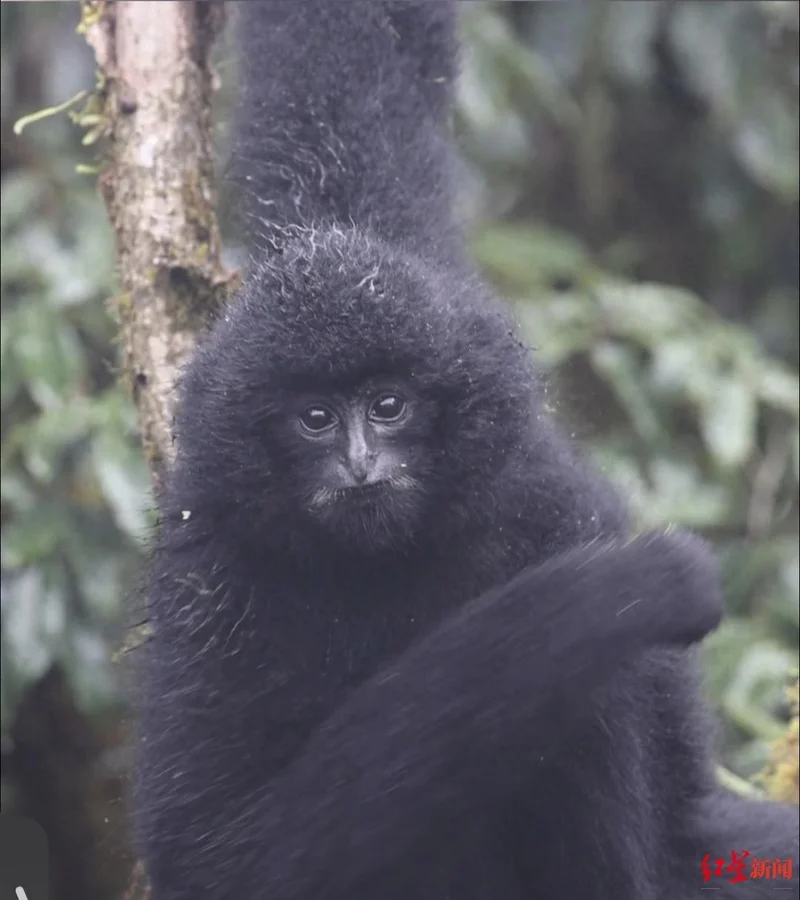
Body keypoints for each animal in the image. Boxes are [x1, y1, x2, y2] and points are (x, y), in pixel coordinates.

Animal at [133, 2, 800, 899]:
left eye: (388, 407)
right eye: (316, 418)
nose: (360, 464)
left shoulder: (540, 501)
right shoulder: (213, 574)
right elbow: (219, 850)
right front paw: (622, 591)